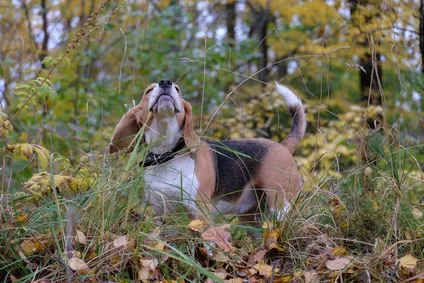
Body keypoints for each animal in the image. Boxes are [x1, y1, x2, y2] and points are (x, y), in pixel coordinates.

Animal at [110, 79, 304, 224]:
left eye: (178, 90)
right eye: (148, 91)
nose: (165, 82)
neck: (167, 154)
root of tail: (282, 145)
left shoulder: (201, 208)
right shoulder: (159, 210)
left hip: (281, 204)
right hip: (250, 217)